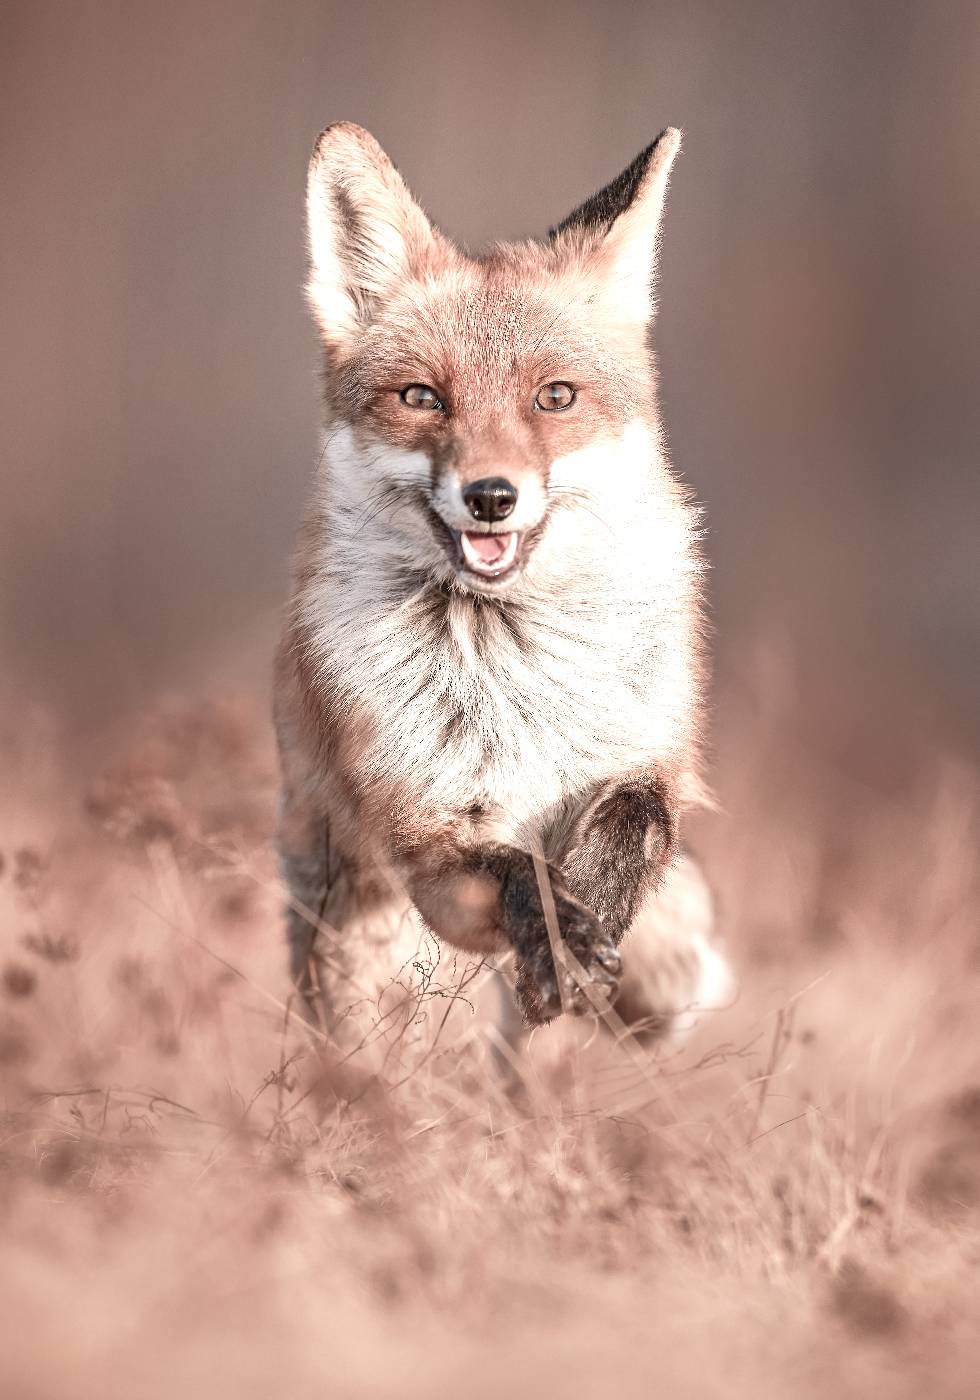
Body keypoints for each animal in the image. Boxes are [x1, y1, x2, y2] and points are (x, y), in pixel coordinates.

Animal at [274, 122, 733, 1045]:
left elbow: (635, 822)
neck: (519, 679)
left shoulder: (654, 759)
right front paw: (562, 944)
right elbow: (523, 871)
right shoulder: (430, 842)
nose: (491, 495)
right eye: (422, 397)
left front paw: (592, 920)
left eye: (554, 397)